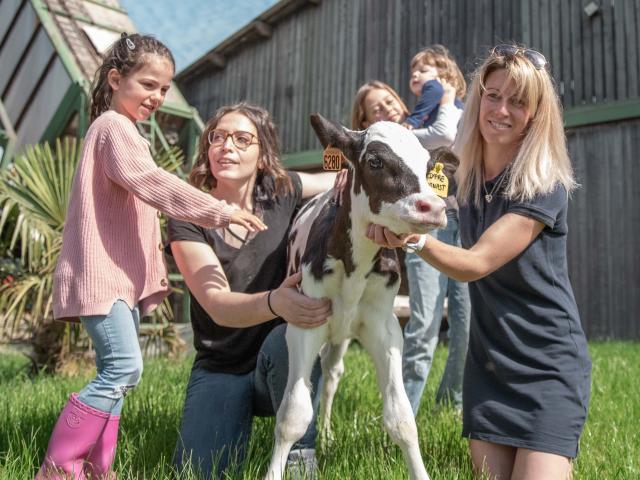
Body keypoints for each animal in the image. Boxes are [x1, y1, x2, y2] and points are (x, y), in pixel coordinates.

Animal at [264, 115, 450, 480]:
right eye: (375, 161)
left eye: (428, 166)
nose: (433, 207)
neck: (354, 264)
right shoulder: (303, 324)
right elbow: (292, 415)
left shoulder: (384, 327)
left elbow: (402, 418)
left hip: (343, 334)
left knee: (332, 373)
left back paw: (326, 436)